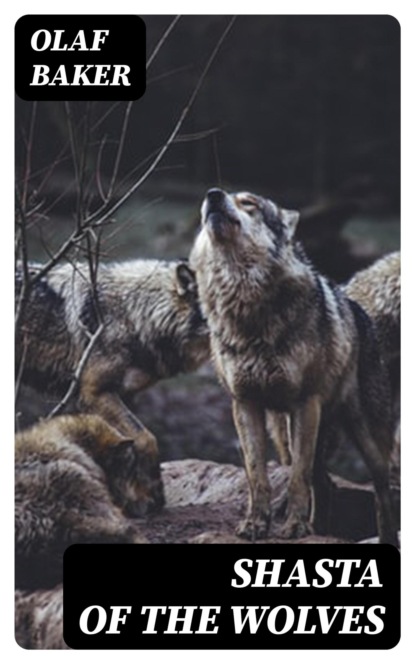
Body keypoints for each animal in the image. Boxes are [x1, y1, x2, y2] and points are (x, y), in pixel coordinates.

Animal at [16, 258, 210, 513]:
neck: (134, 315)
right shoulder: (95, 393)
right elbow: (146, 438)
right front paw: (152, 494)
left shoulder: (123, 395)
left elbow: (125, 447)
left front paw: (137, 498)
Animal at [189, 187, 398, 545]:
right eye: (217, 196)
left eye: (249, 203)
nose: (213, 195)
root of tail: (359, 309)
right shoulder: (245, 404)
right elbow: (257, 476)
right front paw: (255, 524)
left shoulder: (304, 403)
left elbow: (297, 477)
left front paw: (295, 528)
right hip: (296, 431)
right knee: (325, 483)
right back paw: (320, 530)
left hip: (365, 437)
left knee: (382, 492)